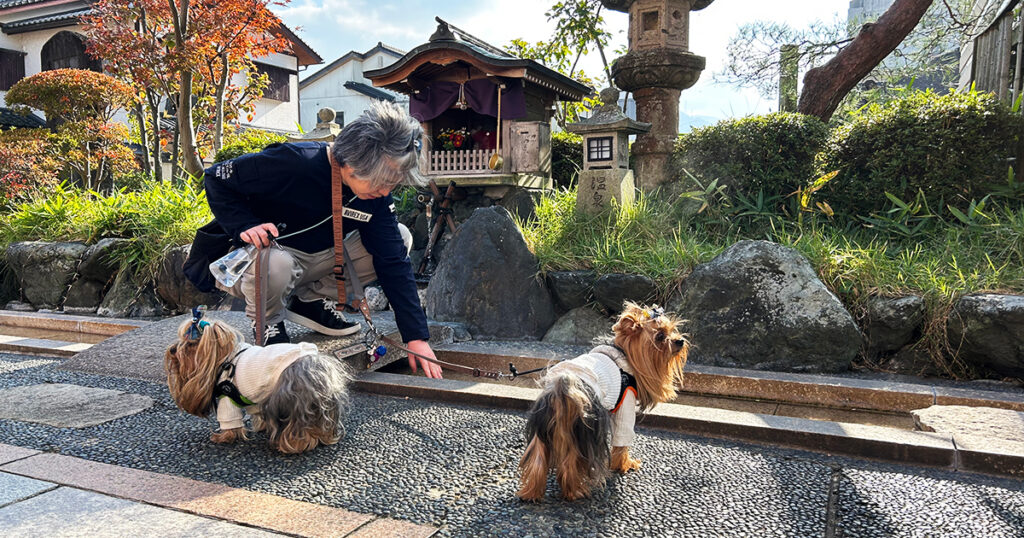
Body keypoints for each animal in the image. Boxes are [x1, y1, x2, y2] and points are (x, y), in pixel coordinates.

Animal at [163, 305, 348, 452]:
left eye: (190, 345)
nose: (172, 350)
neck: (224, 359)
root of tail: (315, 364)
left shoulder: (226, 395)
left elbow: (230, 420)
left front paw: (222, 437)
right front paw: (260, 427)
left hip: (292, 399)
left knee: (297, 427)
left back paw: (293, 444)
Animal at [516, 301, 692, 500]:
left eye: (673, 330)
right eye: (660, 336)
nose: (680, 341)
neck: (623, 353)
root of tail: (562, 387)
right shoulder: (626, 404)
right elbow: (622, 438)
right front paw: (624, 465)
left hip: (544, 426)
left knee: (538, 456)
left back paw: (531, 493)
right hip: (584, 428)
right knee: (572, 460)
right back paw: (574, 492)